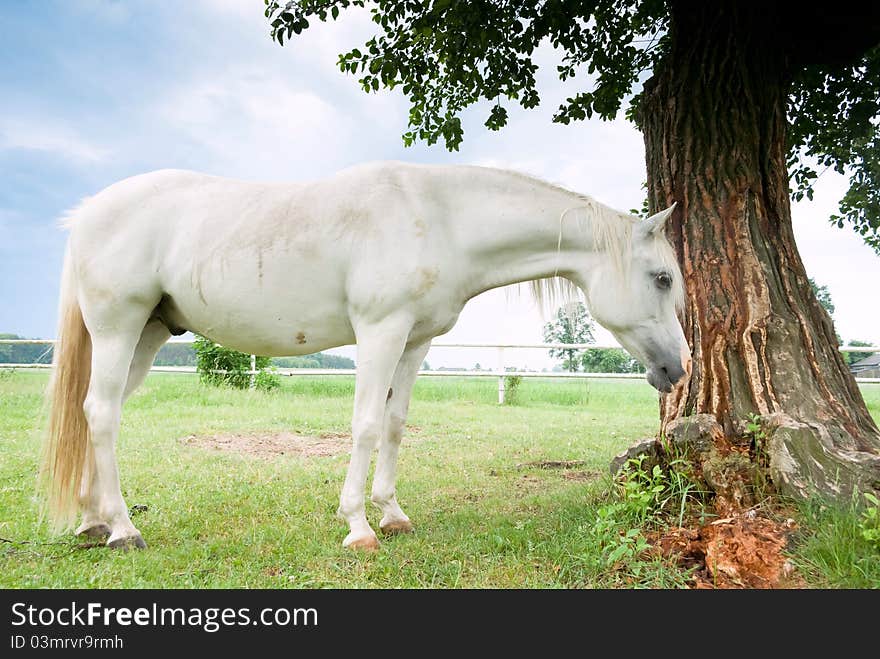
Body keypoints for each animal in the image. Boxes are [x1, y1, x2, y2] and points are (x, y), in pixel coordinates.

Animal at [41, 161, 692, 552]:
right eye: (661, 278)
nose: (677, 370)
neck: (439, 217)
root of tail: (89, 212)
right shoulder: (379, 332)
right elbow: (365, 425)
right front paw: (357, 526)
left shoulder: (414, 339)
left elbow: (396, 424)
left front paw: (392, 513)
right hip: (119, 327)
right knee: (101, 413)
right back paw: (123, 529)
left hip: (147, 335)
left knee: (93, 413)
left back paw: (93, 520)